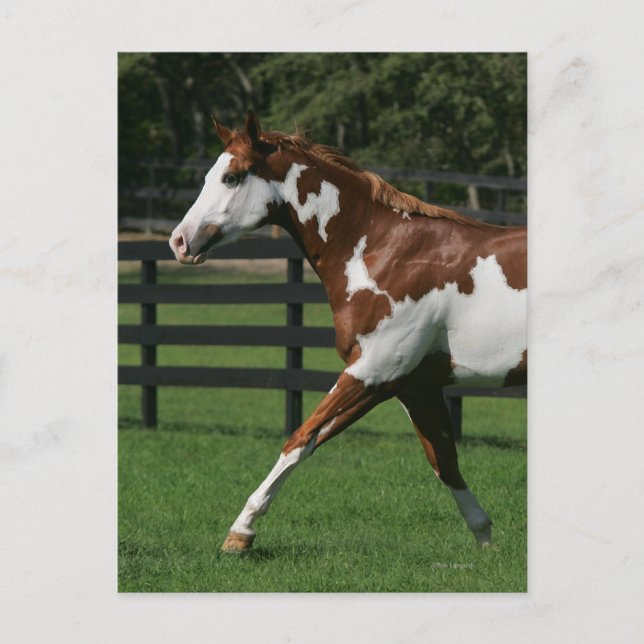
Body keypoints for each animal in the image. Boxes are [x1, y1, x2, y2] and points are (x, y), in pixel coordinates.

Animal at [169, 111, 527, 553]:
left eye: (232, 177)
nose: (179, 242)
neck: (385, 252)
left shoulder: (370, 372)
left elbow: (299, 438)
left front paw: (241, 531)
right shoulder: (412, 386)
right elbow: (444, 461)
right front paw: (485, 542)